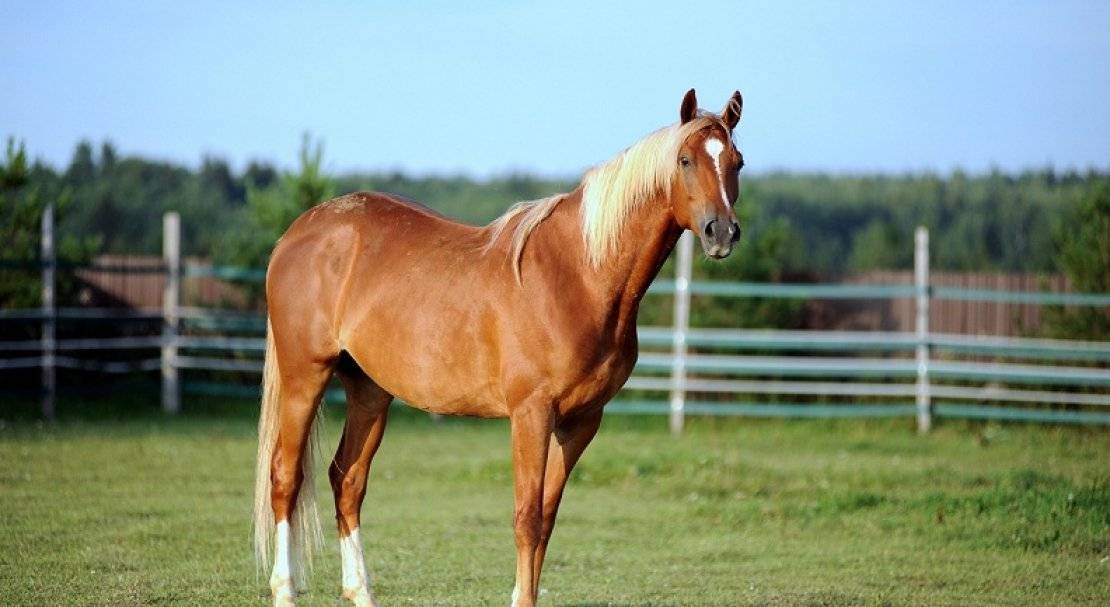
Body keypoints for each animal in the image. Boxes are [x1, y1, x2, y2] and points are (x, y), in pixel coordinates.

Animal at [252, 88, 744, 607]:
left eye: (737, 162)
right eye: (686, 160)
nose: (722, 232)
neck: (578, 274)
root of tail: (300, 232)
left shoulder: (581, 422)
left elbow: (546, 519)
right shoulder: (531, 414)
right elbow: (526, 518)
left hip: (369, 390)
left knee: (346, 480)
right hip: (305, 376)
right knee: (285, 477)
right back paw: (284, 588)